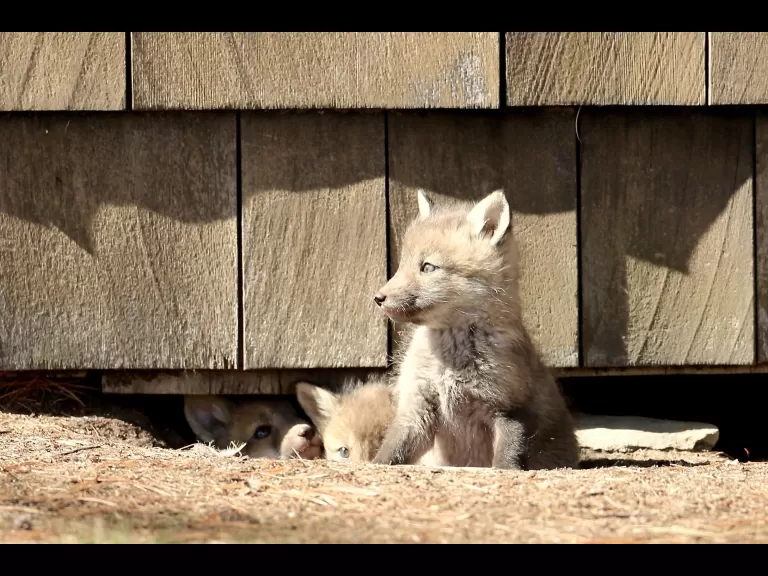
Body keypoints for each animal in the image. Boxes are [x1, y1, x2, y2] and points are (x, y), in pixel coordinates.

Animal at [370, 189, 580, 470]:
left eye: (428, 267)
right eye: (402, 265)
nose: (378, 298)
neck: (451, 362)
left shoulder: (507, 407)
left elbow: (507, 457)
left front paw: (506, 472)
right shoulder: (418, 405)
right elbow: (392, 450)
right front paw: (374, 465)